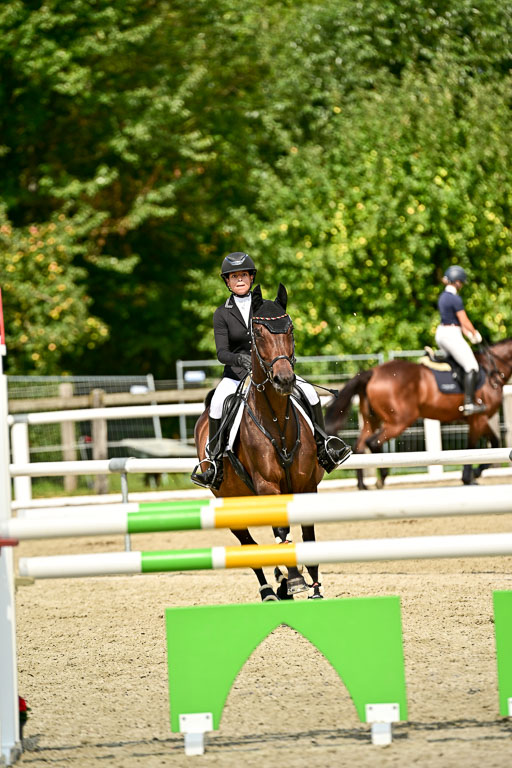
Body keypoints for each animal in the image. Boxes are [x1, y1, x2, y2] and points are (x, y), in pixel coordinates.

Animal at [194, 283, 324, 601]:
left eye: (290, 328)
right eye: (259, 333)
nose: (284, 380)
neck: (277, 420)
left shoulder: (306, 484)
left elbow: (307, 534)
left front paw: (314, 586)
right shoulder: (267, 487)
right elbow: (281, 531)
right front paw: (295, 579)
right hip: (230, 501)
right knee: (249, 545)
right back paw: (269, 589)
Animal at [324, 338, 512, 489]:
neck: (492, 370)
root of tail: (374, 372)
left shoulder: (479, 420)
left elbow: (495, 443)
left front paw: (477, 472)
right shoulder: (478, 418)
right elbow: (473, 446)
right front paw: (470, 477)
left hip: (372, 420)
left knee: (359, 446)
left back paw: (362, 485)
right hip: (399, 421)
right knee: (373, 442)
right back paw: (381, 479)